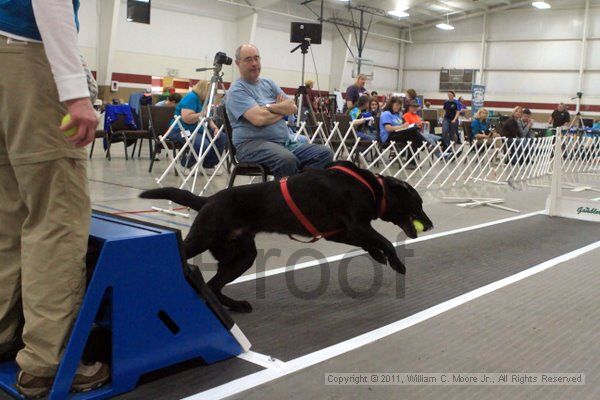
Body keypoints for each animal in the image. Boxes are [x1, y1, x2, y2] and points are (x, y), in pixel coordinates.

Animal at [141, 161, 432, 310]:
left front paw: (379, 256)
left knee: (214, 285)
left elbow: (370, 243)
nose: (429, 225)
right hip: (203, 238)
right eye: (418, 203)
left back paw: (235, 305)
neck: (374, 188)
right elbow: (384, 241)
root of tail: (207, 200)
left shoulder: (339, 232)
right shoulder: (355, 225)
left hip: (241, 255)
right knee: (187, 254)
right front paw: (397, 263)